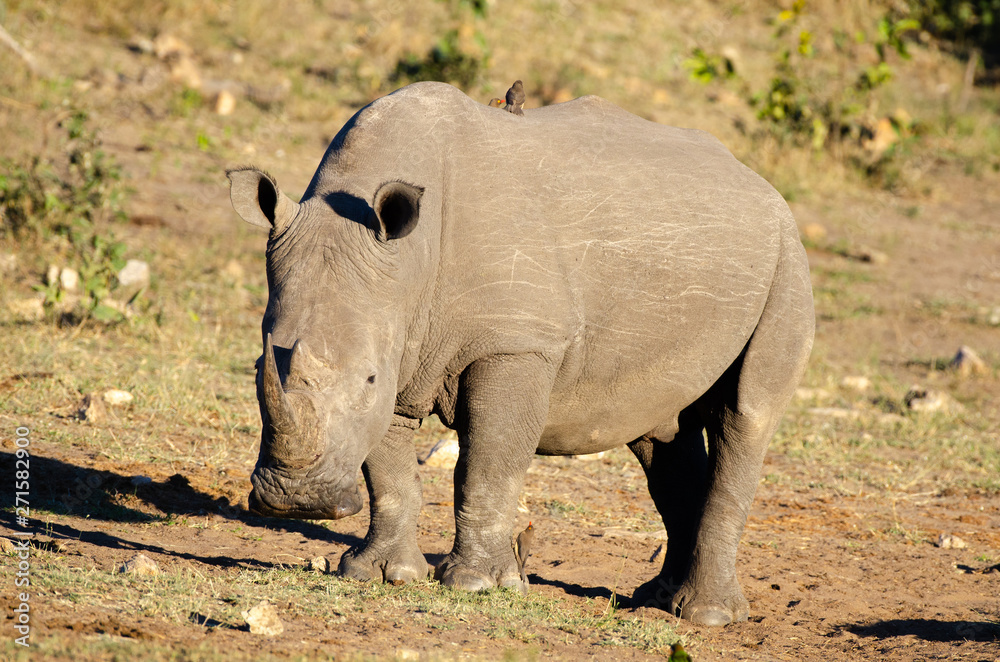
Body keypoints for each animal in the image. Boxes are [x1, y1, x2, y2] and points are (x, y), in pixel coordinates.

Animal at [228, 81, 814, 626]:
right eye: (258, 369)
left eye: (368, 379)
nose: (296, 500)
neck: (407, 259)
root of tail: (761, 184)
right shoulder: (398, 337)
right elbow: (388, 471)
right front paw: (380, 574)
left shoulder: (516, 343)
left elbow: (489, 462)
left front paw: (476, 585)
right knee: (659, 431)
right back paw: (656, 600)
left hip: (788, 256)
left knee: (746, 415)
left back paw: (706, 616)